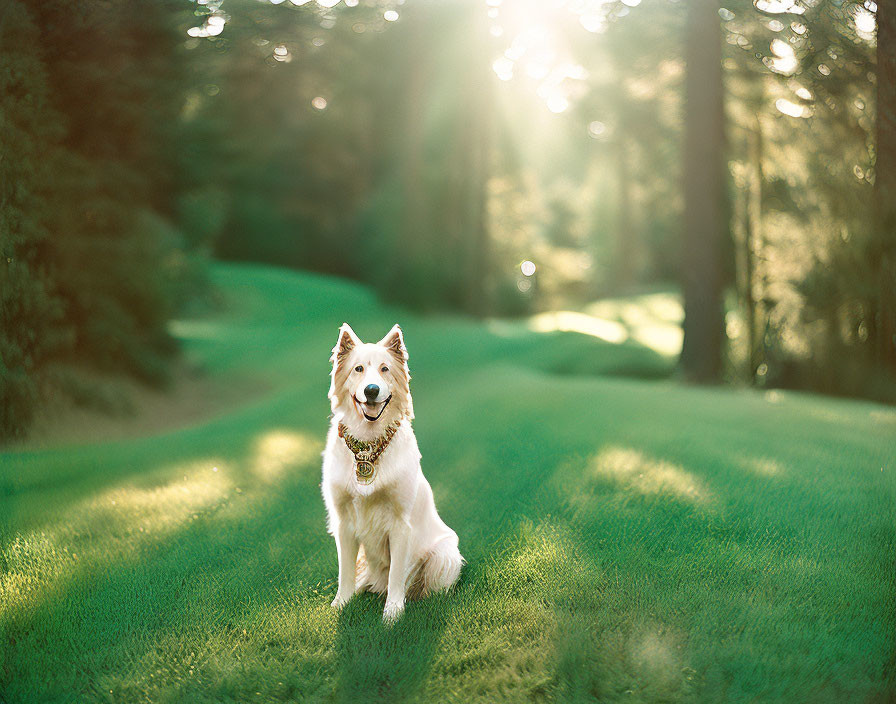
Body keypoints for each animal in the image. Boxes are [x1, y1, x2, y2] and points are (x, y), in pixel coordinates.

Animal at [320, 324, 462, 620]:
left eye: (385, 369)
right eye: (358, 369)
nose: (372, 390)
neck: (367, 445)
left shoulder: (400, 525)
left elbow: (397, 575)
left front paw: (392, 615)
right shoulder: (343, 522)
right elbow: (345, 572)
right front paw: (341, 603)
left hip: (446, 555)